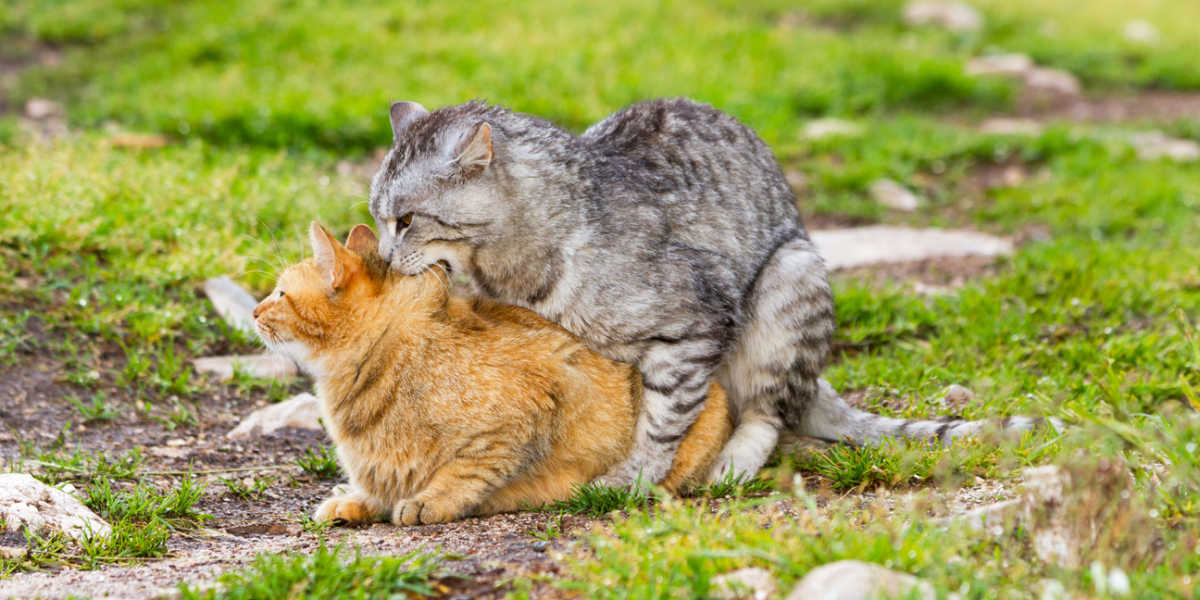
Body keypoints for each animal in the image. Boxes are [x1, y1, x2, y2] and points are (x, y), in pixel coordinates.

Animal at [253, 222, 729, 525]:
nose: (256, 311)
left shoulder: (539, 396)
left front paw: (430, 500)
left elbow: (468, 469)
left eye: (280, 293)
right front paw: (355, 501)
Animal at [364, 99, 1051, 487]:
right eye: (375, 217)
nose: (383, 257)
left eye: (405, 220)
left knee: (771, 411)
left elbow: (664, 418)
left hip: (790, 281)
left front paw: (632, 477)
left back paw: (733, 465)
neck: (514, 272)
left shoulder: (693, 327)